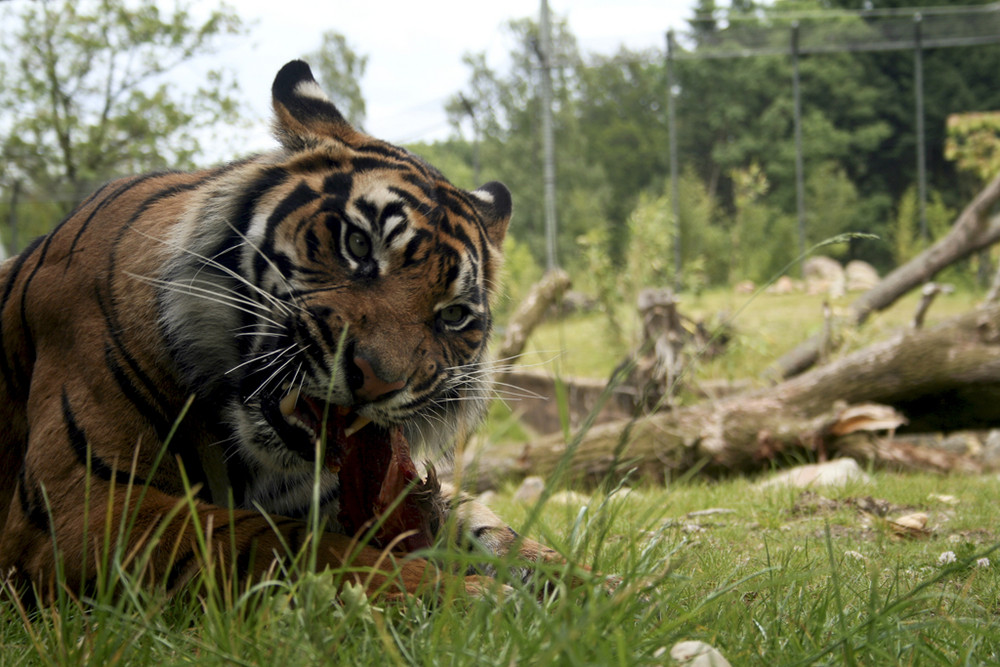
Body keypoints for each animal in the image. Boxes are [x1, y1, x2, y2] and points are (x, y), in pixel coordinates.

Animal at [0, 58, 564, 600]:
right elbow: (285, 544)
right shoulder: (81, 505)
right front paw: (468, 596)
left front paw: (574, 585)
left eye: (451, 316)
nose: (379, 382)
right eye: (358, 244)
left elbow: (485, 525)